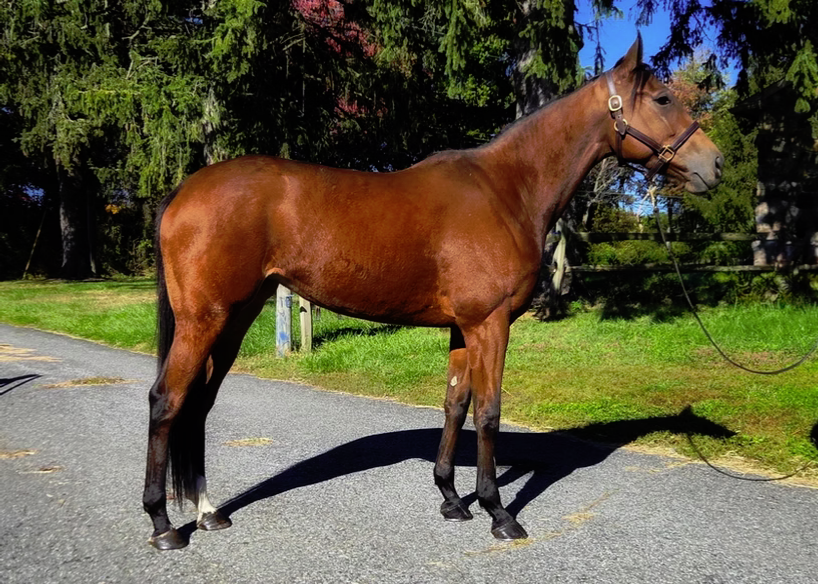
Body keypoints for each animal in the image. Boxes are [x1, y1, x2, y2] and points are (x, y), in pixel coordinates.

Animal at [143, 35, 723, 550]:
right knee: (167, 400)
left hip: (235, 318)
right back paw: (163, 525)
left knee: (199, 403)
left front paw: (450, 498)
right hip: (203, 319)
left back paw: (209, 512)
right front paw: (498, 513)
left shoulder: (463, 328)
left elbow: (455, 404)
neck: (507, 190)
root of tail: (185, 190)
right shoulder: (490, 323)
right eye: (664, 98)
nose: (714, 165)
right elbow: (489, 411)